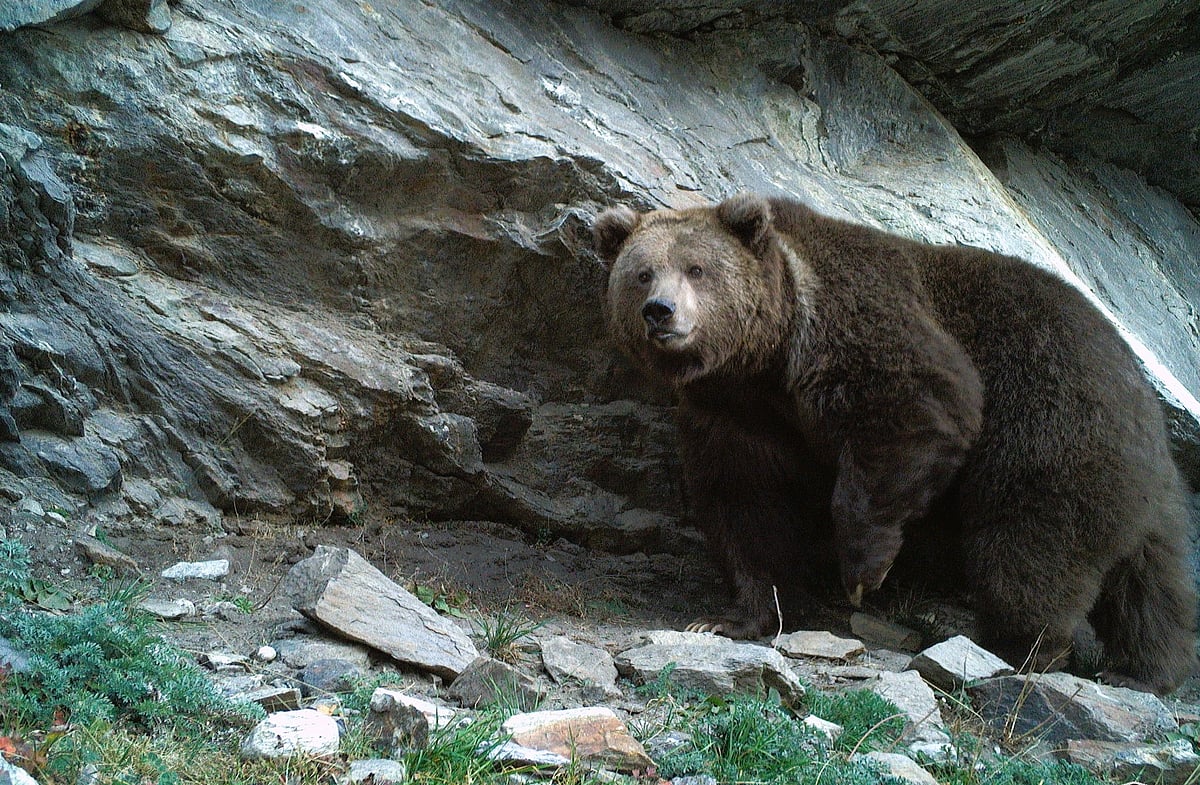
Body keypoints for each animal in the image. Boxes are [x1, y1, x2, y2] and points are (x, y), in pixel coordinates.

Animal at [593, 192, 1198, 695]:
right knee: (1152, 584)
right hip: (1151, 492)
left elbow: (917, 410)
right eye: (642, 273)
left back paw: (1018, 647)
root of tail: (1139, 384)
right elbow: (747, 508)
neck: (765, 361)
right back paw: (1143, 670)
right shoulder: (735, 416)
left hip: (1051, 419)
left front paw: (863, 573)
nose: (661, 311)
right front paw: (728, 617)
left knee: (1029, 543)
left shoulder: (855, 323)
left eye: (696, 269)